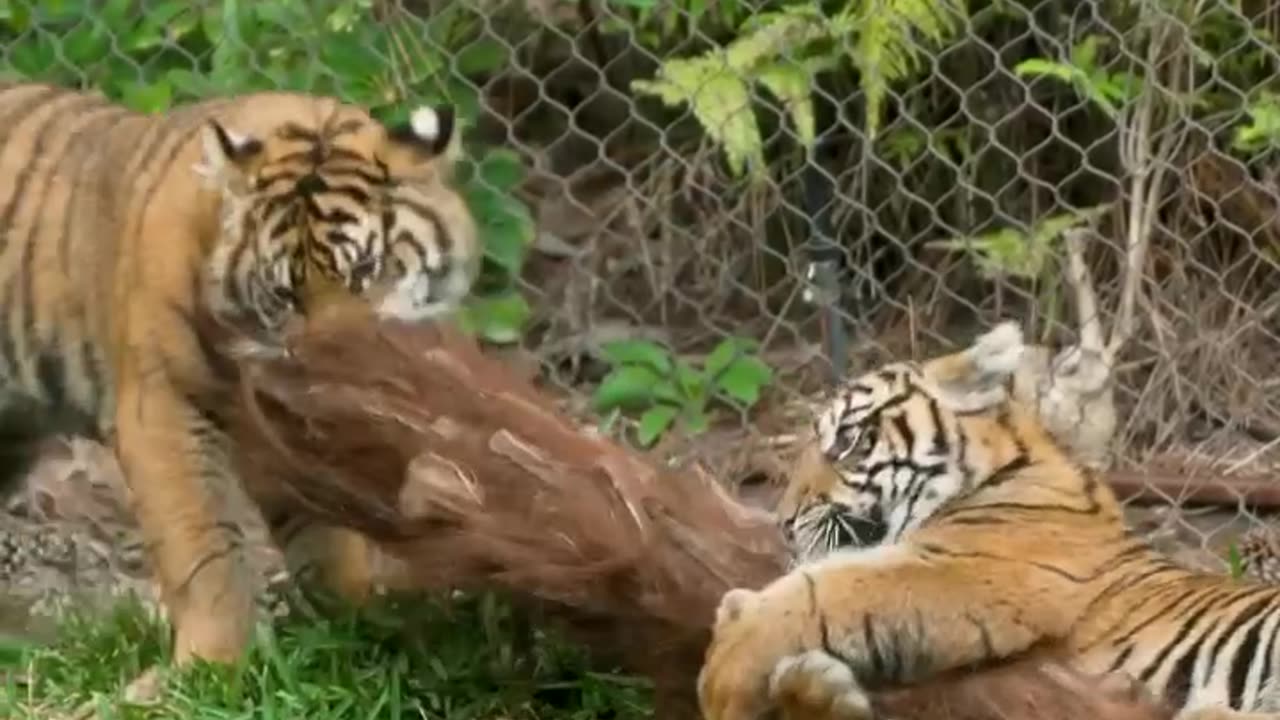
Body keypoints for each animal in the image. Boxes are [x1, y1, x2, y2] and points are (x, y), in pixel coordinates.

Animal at [0, 80, 480, 671]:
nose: (340, 365)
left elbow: (326, 532)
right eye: (284, 292)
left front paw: (358, 622)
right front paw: (212, 665)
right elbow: (203, 547)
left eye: (366, 271)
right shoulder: (164, 409)